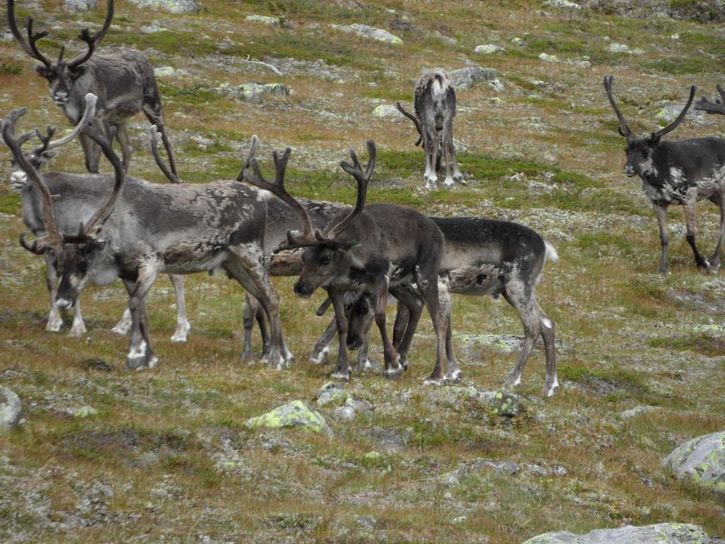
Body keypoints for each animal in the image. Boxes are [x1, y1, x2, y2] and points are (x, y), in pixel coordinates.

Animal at [2, 99, 291, 371]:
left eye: (85, 258)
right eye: (60, 263)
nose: (62, 301)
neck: (116, 233)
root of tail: (259, 197)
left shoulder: (151, 263)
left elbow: (134, 305)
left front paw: (134, 355)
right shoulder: (128, 273)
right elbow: (141, 310)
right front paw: (148, 356)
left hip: (251, 254)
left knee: (272, 298)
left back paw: (277, 358)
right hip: (232, 263)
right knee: (262, 298)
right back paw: (277, 354)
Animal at [7, 0, 178, 176]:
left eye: (71, 77)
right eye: (50, 76)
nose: (60, 95)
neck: (78, 99)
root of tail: (143, 56)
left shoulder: (98, 116)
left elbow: (99, 155)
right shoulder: (78, 124)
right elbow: (90, 162)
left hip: (152, 103)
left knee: (166, 142)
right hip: (118, 119)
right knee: (127, 147)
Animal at [242, 139, 454, 384]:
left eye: (326, 258)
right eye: (304, 257)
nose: (300, 287)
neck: (352, 267)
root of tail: (438, 230)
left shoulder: (381, 278)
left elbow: (380, 318)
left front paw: (391, 366)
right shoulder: (335, 287)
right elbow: (342, 323)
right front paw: (342, 369)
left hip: (425, 271)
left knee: (438, 317)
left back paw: (435, 374)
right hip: (400, 282)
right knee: (416, 304)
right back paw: (403, 356)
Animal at [312, 217, 560, 397]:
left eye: (363, 309)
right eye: (347, 308)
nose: (352, 342)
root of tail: (544, 245)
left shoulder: (438, 286)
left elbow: (443, 329)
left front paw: (444, 372)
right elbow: (405, 327)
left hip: (518, 285)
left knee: (533, 327)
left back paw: (512, 379)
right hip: (514, 290)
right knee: (547, 323)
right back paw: (550, 385)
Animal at [604, 75, 725, 274]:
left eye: (645, 151)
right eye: (626, 149)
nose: (628, 169)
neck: (659, 177)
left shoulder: (689, 196)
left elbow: (690, 235)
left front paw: (702, 262)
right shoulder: (657, 202)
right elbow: (663, 236)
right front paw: (663, 268)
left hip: (721, 191)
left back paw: (714, 261)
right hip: (713, 195)